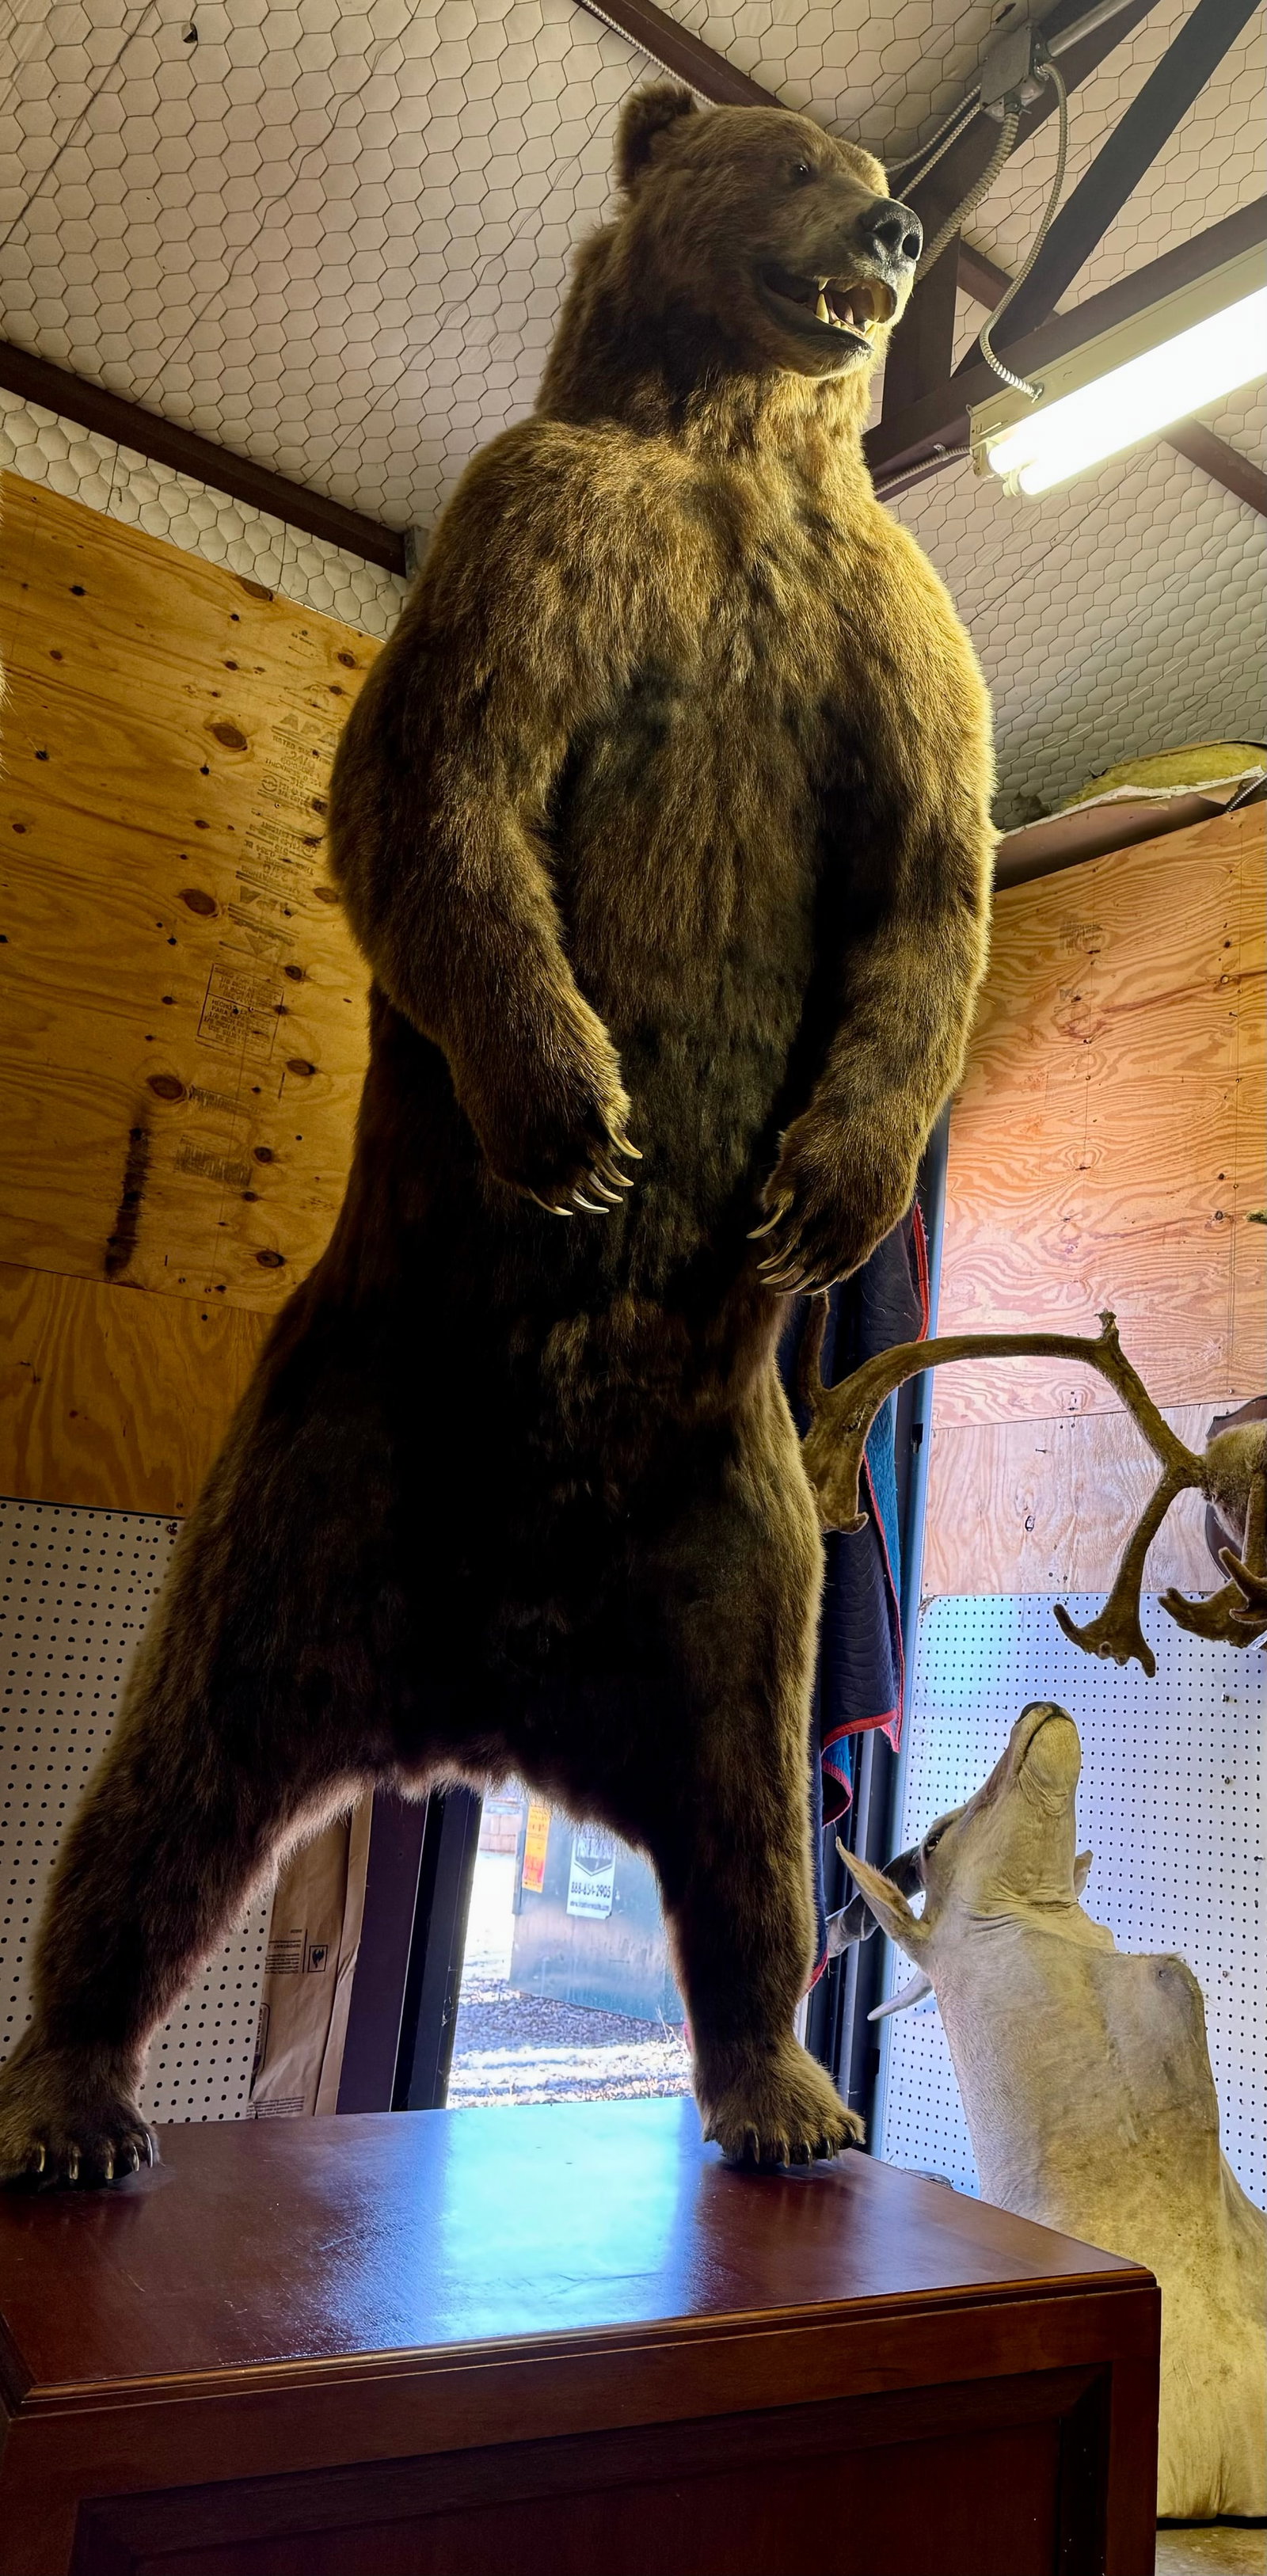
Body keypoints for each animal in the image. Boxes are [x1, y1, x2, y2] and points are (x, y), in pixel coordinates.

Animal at [0, 82, 993, 2185]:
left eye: (887, 180)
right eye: (799, 156)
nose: (886, 229)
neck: (728, 446)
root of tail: (471, 1716)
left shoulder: (883, 635)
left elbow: (924, 895)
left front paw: (809, 1199)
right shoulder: (539, 531)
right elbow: (437, 780)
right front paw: (583, 1123)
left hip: (738, 1562)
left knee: (758, 1847)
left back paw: (785, 2097)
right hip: (308, 1480)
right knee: (160, 1784)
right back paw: (69, 2096)